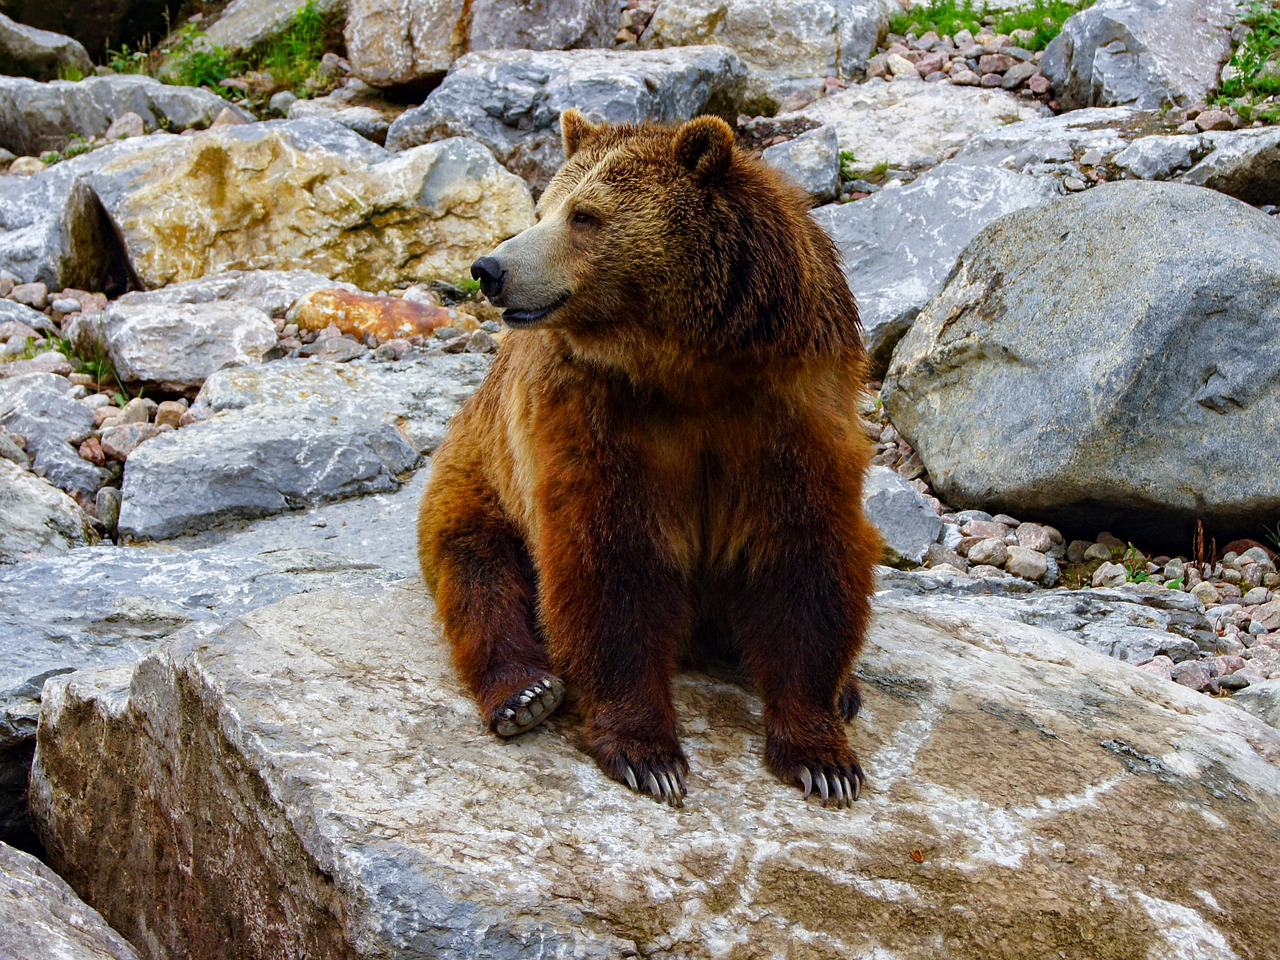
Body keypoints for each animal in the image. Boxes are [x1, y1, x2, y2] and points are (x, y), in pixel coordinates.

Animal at [418, 109, 879, 808]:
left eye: (584, 216)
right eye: (543, 207)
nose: (489, 268)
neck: (688, 363)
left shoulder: (791, 402)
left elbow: (803, 553)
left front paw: (822, 755)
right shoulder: (595, 413)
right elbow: (612, 563)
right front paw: (648, 752)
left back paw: (848, 689)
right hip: (479, 476)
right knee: (478, 572)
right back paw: (525, 692)